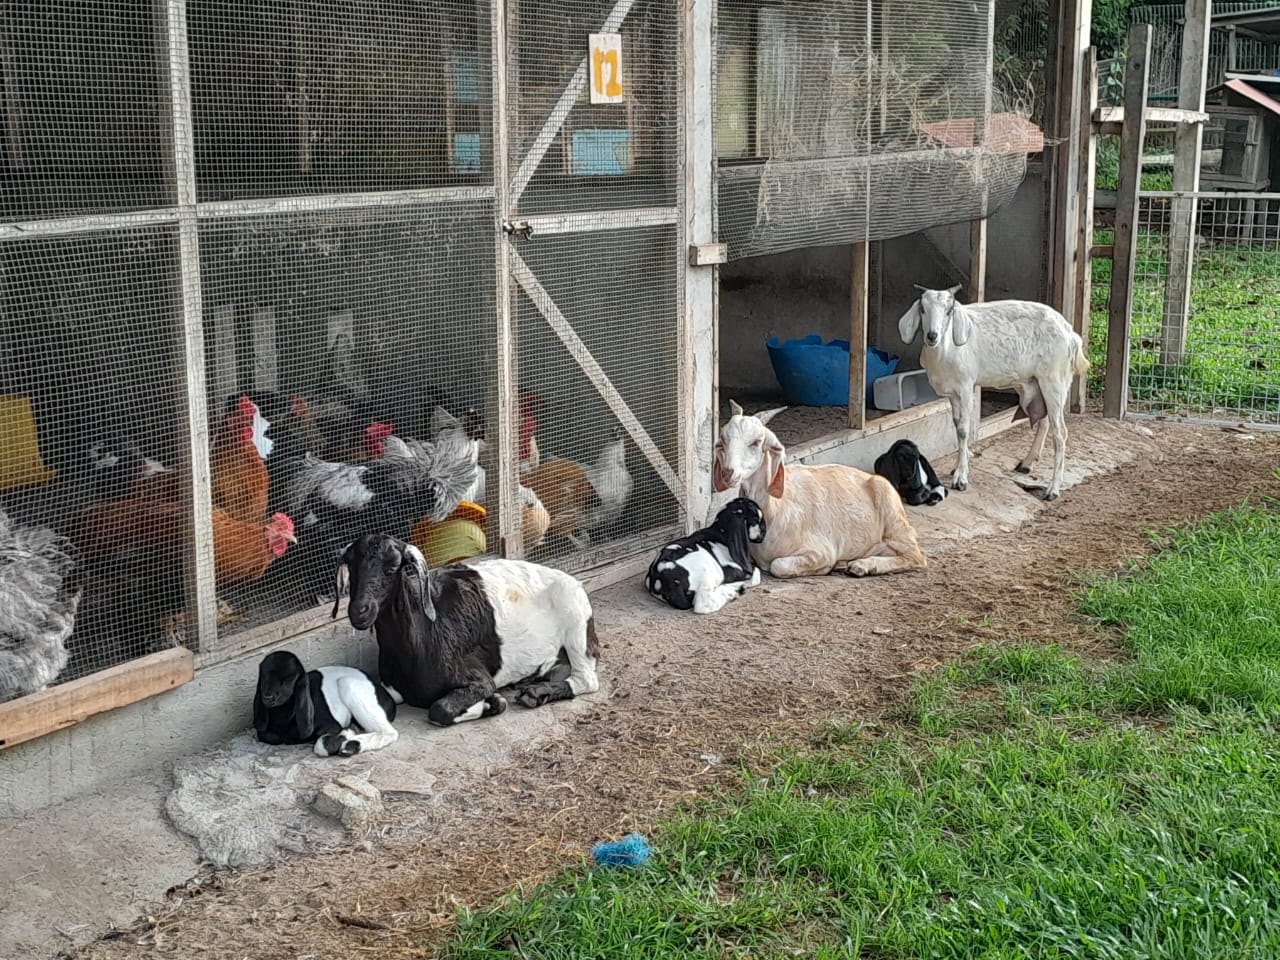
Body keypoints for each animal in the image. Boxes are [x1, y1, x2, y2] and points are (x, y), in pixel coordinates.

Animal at [252, 655, 396, 757]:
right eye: (263, 676)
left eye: (289, 679)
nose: (268, 697)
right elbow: (268, 735)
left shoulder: (331, 724)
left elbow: (323, 745)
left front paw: (348, 732)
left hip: (348, 684)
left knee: (390, 732)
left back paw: (350, 746)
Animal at [330, 535, 599, 727]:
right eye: (351, 568)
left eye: (393, 567)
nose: (359, 611)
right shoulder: (391, 689)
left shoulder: (478, 679)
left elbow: (439, 709)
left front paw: (493, 704)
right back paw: (536, 687)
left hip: (576, 621)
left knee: (586, 678)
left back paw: (535, 693)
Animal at [711, 404, 931, 578]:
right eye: (722, 441)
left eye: (756, 442)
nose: (727, 472)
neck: (776, 508)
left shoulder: (820, 551)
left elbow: (778, 566)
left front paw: (827, 568)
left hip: (894, 519)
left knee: (916, 556)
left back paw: (862, 566)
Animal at [901, 285, 1090, 504]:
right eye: (923, 309)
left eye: (949, 311)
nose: (932, 336)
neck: (946, 350)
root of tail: (1071, 334)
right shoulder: (953, 393)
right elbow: (956, 425)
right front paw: (958, 466)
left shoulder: (966, 387)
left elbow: (963, 430)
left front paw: (961, 478)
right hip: (1038, 382)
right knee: (1044, 422)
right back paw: (1027, 463)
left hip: (1055, 380)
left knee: (1060, 433)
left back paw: (1053, 489)